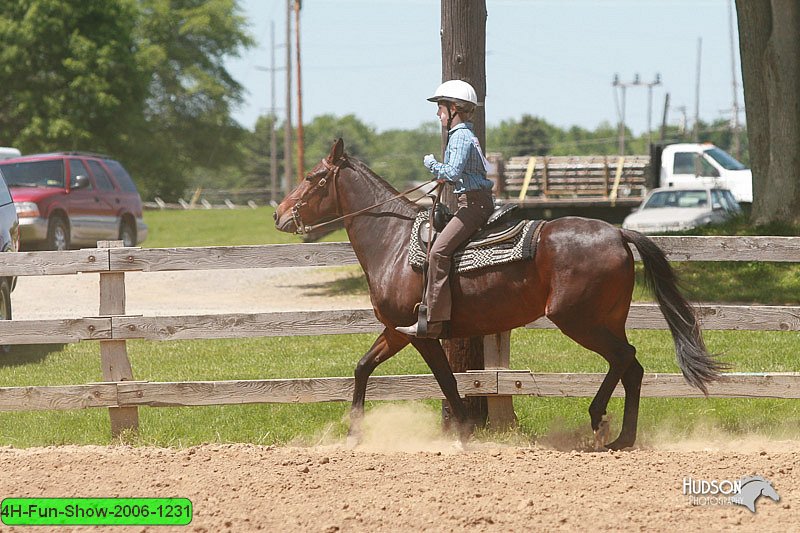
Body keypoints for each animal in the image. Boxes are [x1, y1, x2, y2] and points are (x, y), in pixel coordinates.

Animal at [274, 138, 724, 448]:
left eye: (313, 177)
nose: (278, 214)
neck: (396, 244)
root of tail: (617, 232)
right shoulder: (396, 331)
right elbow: (363, 367)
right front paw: (354, 433)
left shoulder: (419, 334)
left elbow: (446, 381)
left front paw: (464, 431)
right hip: (607, 319)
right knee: (631, 367)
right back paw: (620, 438)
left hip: (577, 320)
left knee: (624, 359)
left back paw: (601, 420)